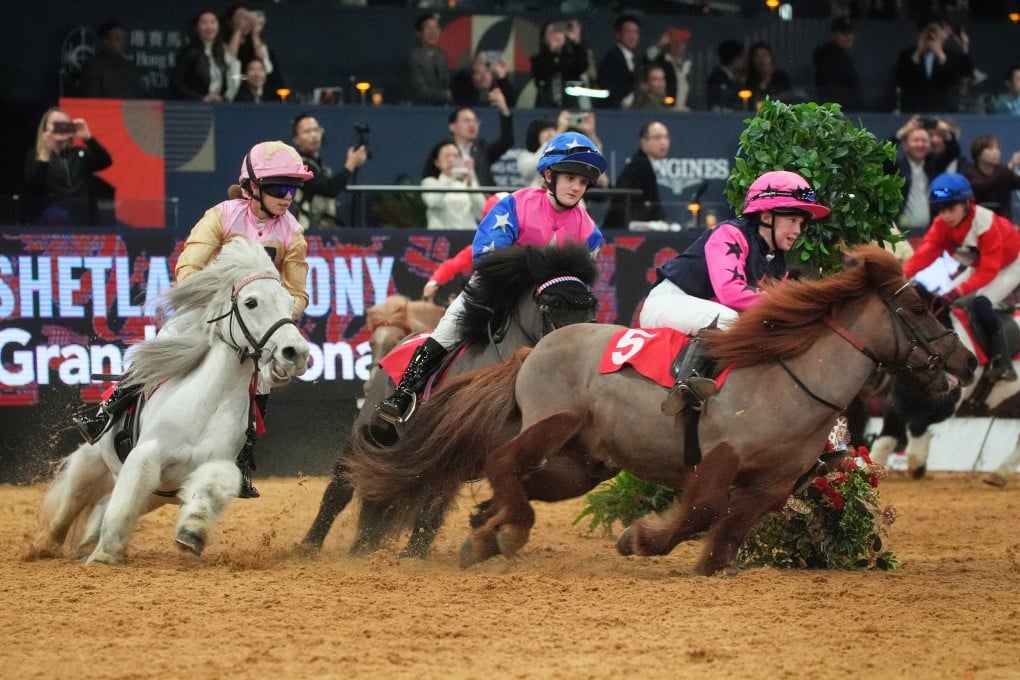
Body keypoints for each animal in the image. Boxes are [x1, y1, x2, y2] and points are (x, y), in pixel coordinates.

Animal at [31, 237, 310, 565]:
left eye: (290, 304)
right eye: (251, 302)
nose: (295, 353)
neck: (208, 406)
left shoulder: (220, 465)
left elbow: (214, 486)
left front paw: (192, 533)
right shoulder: (146, 454)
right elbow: (122, 503)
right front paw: (102, 557)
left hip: (151, 497)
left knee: (102, 504)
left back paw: (87, 542)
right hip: (90, 464)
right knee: (69, 508)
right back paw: (42, 546)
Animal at [300, 243, 600, 557]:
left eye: (592, 304)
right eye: (556, 303)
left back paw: (370, 548)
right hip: (371, 431)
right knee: (342, 486)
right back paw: (310, 546)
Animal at [344, 245, 977, 576]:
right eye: (919, 308)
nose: (968, 361)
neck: (791, 380)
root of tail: (534, 349)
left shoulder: (772, 487)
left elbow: (726, 536)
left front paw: (699, 562)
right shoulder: (719, 459)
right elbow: (702, 513)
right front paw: (640, 539)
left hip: (581, 466)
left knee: (514, 481)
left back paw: (485, 530)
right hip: (553, 424)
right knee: (503, 462)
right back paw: (505, 530)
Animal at [870, 290, 1020, 485]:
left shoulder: (945, 406)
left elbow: (916, 425)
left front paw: (917, 462)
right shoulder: (898, 400)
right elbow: (885, 440)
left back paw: (999, 474)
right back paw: (999, 474)